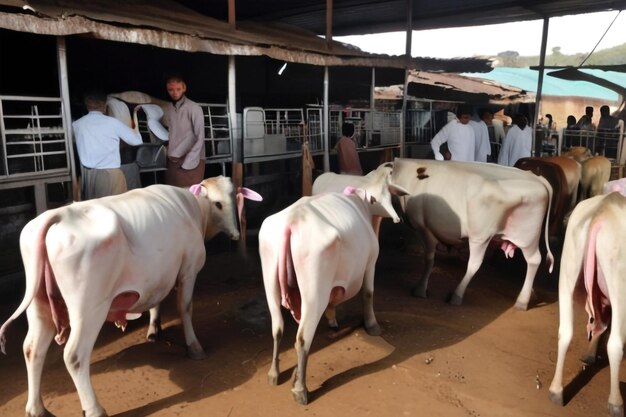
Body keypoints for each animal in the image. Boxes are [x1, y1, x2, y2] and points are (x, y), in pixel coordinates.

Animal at [0, 175, 258, 416]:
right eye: (218, 204)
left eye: (234, 197)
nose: (236, 234)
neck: (193, 208)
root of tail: (56, 215)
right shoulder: (188, 269)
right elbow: (185, 307)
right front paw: (194, 347)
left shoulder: (158, 275)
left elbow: (155, 301)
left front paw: (154, 331)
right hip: (89, 309)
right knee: (74, 356)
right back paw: (94, 408)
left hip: (39, 303)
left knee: (32, 349)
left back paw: (36, 408)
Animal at [258, 184, 404, 404]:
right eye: (385, 197)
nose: (397, 218)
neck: (361, 205)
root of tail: (291, 222)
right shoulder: (371, 262)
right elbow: (368, 293)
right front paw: (372, 326)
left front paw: (332, 320)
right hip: (314, 289)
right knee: (302, 339)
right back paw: (300, 390)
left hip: (270, 280)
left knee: (278, 328)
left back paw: (274, 374)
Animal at [390, 158, 552, 310]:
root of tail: (537, 179)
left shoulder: (424, 228)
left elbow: (429, 259)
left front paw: (420, 290)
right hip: (526, 238)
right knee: (532, 261)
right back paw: (528, 295)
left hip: (484, 236)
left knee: (476, 264)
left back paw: (458, 296)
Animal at [544, 191, 624, 416]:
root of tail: (602, 210)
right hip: (619, 282)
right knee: (615, 343)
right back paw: (616, 403)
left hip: (567, 271)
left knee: (565, 332)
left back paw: (556, 391)